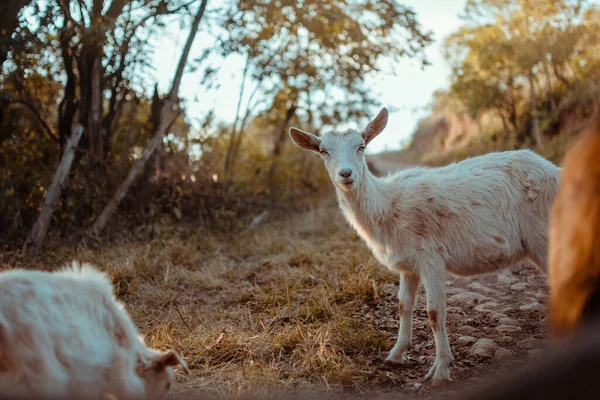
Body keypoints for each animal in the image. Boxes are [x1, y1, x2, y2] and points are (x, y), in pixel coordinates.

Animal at [288, 108, 560, 386]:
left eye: (361, 146)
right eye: (323, 151)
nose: (346, 174)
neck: (388, 207)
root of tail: (556, 171)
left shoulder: (432, 257)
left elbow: (434, 312)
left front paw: (440, 371)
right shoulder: (408, 266)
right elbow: (403, 305)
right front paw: (396, 355)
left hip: (544, 235)